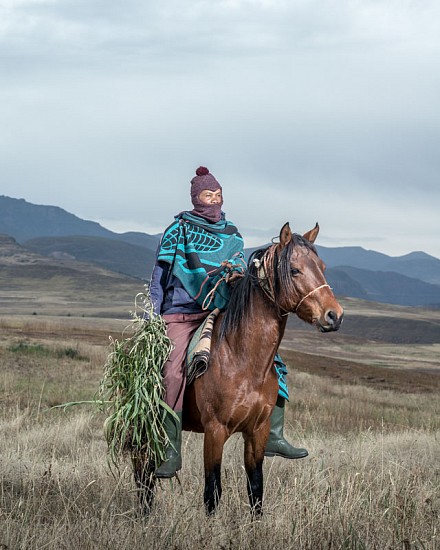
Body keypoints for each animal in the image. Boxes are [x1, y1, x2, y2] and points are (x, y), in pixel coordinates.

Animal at [131, 222, 344, 520]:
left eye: (322, 266)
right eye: (294, 270)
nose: (334, 315)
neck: (242, 358)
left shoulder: (257, 432)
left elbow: (256, 488)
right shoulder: (215, 430)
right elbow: (212, 490)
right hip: (143, 426)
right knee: (143, 473)